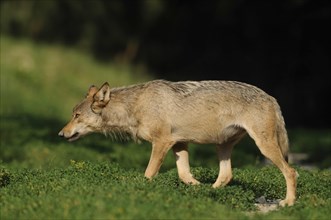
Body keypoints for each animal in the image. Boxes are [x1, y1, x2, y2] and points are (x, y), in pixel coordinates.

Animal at [58, 80, 296, 206]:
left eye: (77, 116)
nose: (61, 134)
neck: (135, 107)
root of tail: (272, 98)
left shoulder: (162, 142)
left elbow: (148, 174)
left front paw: (139, 192)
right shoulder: (179, 143)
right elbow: (183, 174)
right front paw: (196, 189)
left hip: (264, 147)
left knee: (291, 172)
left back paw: (288, 203)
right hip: (222, 146)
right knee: (226, 176)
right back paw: (210, 193)